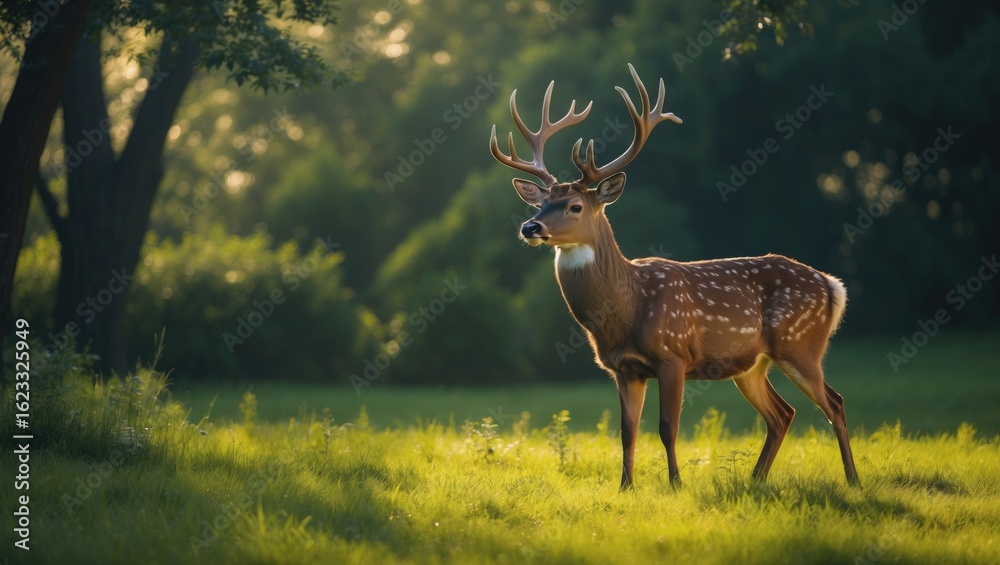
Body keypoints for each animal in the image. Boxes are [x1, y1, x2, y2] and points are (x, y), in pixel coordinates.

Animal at [489, 64, 859, 490]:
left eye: (575, 205)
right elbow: (627, 432)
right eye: (542, 202)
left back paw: (852, 480)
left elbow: (668, 427)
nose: (530, 227)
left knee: (834, 402)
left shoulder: (674, 355)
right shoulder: (623, 369)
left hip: (800, 344)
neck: (626, 310)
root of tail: (833, 286)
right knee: (783, 414)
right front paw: (626, 487)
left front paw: (676, 485)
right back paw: (755, 480)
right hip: (752, 363)